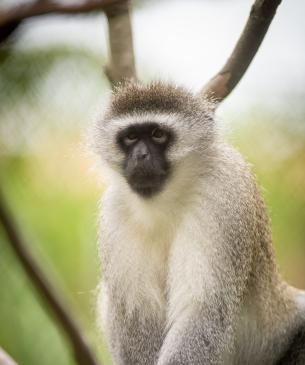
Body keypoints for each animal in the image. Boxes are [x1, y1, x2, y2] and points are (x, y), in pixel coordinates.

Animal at [94, 82, 302, 364]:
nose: (140, 155)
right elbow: (139, 315)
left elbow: (203, 311)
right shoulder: (115, 213)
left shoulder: (222, 197)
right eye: (131, 137)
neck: (166, 200)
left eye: (158, 134)